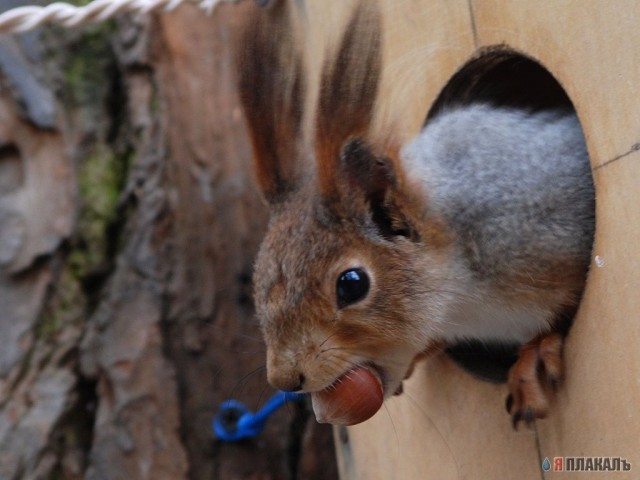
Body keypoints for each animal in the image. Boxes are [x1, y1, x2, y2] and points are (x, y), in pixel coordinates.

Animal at [235, 0, 596, 428]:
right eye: (257, 283)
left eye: (352, 284)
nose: (286, 378)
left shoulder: (545, 244)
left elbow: (565, 312)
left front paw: (533, 357)